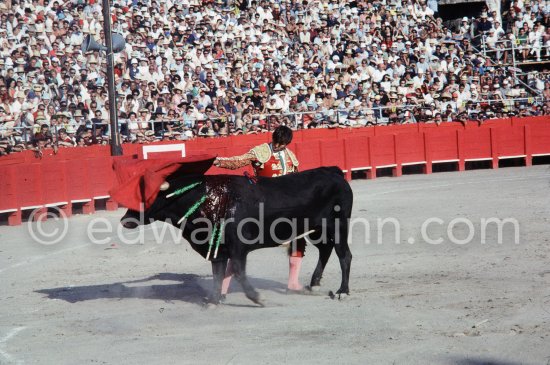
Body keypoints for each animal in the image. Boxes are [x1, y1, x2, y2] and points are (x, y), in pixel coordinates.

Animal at [120, 166, 354, 302]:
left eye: (147, 197)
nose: (124, 220)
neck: (206, 200)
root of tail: (334, 173)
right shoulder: (217, 248)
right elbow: (218, 272)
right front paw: (214, 300)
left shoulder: (238, 247)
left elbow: (239, 272)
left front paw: (257, 297)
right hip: (317, 230)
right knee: (326, 249)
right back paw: (313, 284)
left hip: (338, 226)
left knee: (344, 255)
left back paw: (342, 291)